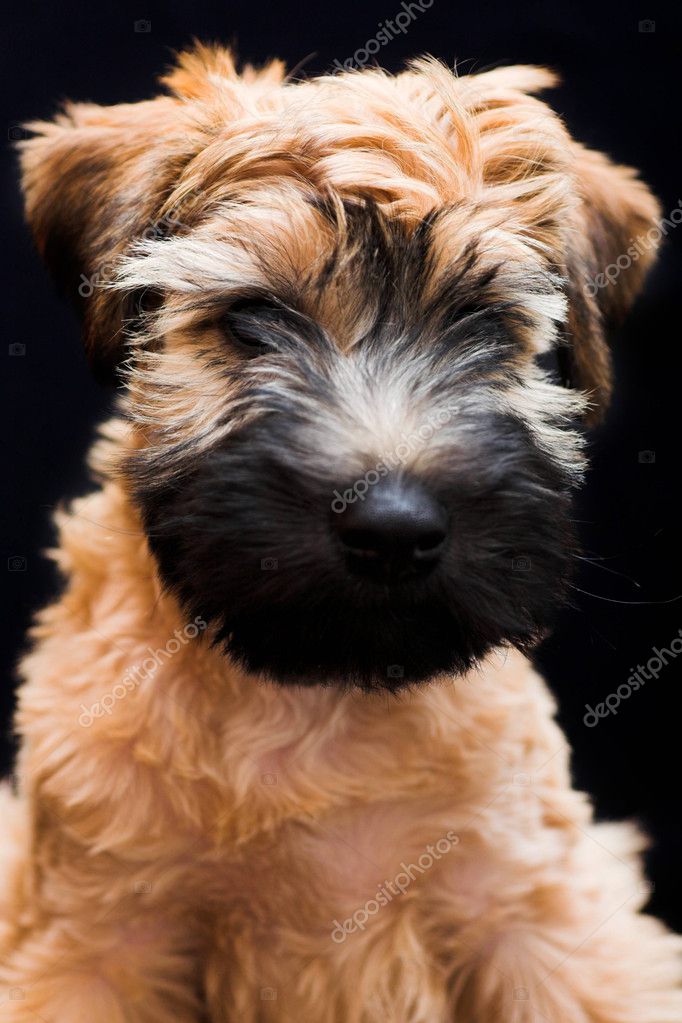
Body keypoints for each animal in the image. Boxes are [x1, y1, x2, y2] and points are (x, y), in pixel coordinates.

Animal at [0, 43, 678, 1018]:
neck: (315, 699)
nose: (392, 529)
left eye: (483, 325)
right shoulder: (85, 944)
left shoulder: (540, 919)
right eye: (250, 318)